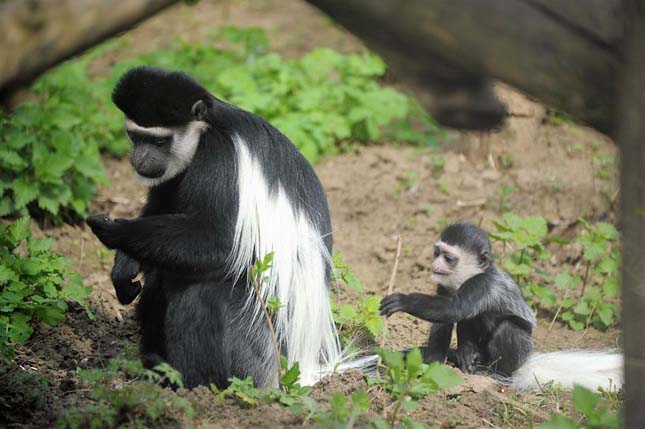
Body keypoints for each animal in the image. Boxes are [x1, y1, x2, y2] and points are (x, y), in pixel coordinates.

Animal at [87, 66, 362, 388]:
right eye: (134, 136)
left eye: (159, 142)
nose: (139, 160)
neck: (207, 128)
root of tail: (299, 365)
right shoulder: (173, 174)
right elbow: (162, 207)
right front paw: (124, 265)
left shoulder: (219, 158)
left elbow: (220, 244)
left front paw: (114, 231)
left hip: (255, 343)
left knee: (200, 290)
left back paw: (186, 381)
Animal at [380, 222, 620, 390]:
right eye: (437, 253)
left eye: (448, 258)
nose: (435, 264)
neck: (470, 275)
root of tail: (526, 363)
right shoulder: (444, 285)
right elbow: (446, 319)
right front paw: (433, 362)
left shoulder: (481, 284)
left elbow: (453, 309)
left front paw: (403, 300)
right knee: (471, 318)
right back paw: (467, 356)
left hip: (521, 349)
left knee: (506, 328)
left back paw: (494, 373)